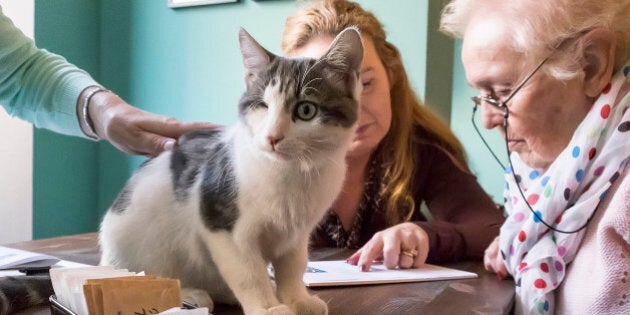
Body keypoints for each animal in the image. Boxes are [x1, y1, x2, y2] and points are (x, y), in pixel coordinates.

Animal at [99, 27, 366, 315]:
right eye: (262, 106)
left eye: (306, 109)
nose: (272, 137)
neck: (290, 173)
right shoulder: (223, 227)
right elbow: (249, 273)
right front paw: (268, 308)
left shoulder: (297, 235)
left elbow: (293, 266)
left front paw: (297, 299)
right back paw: (191, 294)